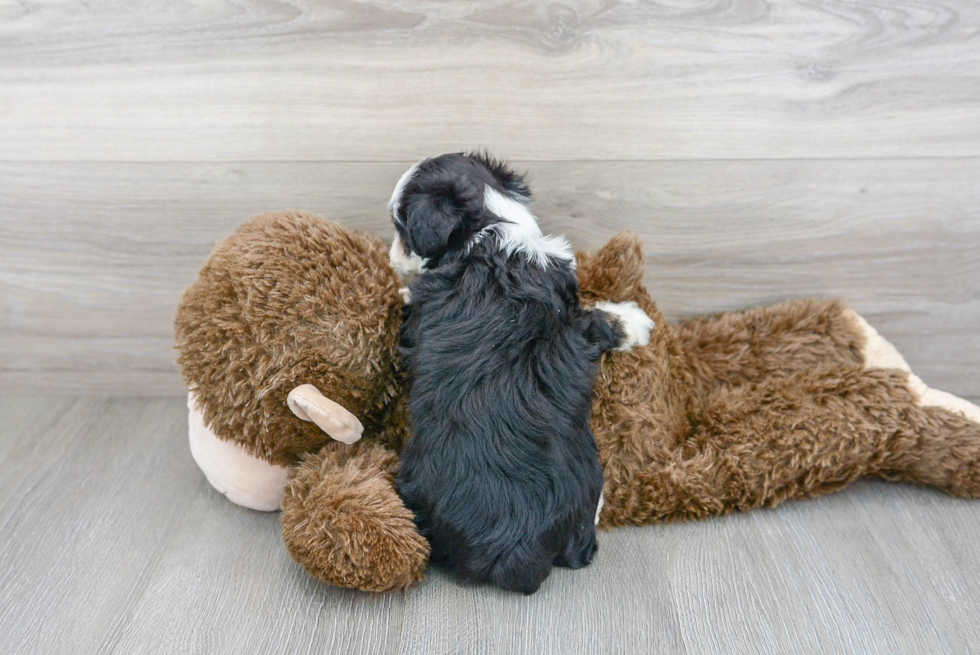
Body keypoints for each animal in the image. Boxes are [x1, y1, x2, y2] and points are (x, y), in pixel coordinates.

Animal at [386, 152, 656, 596]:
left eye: (400, 228)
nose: (392, 259)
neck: (489, 231)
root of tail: (515, 548)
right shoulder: (575, 321)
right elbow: (599, 321)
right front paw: (633, 319)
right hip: (586, 478)